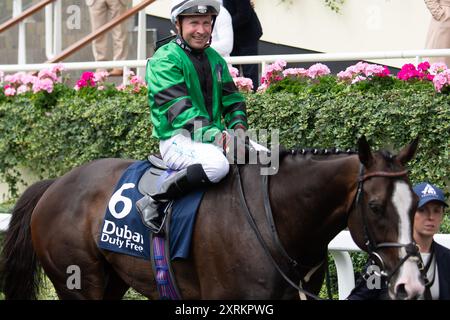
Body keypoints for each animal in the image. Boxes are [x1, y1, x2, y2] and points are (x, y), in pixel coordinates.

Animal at [0, 137, 426, 300]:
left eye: (413, 207)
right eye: (376, 207)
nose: (411, 284)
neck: (275, 221)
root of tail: (54, 185)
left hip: (112, 280)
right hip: (77, 280)